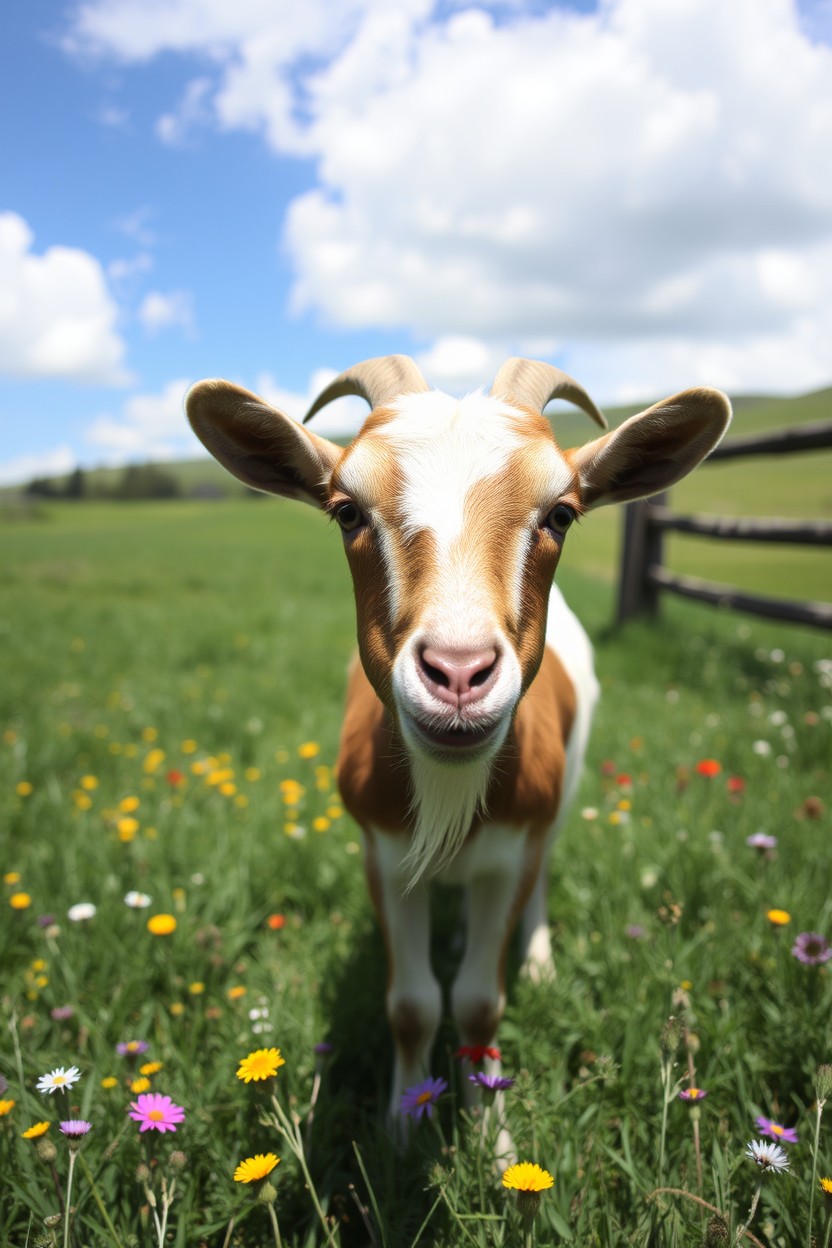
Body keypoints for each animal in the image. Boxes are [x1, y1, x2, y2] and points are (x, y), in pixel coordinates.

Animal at [186, 355, 730, 1128]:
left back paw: (538, 959)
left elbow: (477, 1002)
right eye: (347, 510)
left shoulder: (510, 854)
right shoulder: (383, 857)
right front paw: (403, 1122)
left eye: (560, 513)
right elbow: (412, 1004)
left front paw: (488, 1127)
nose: (459, 671)